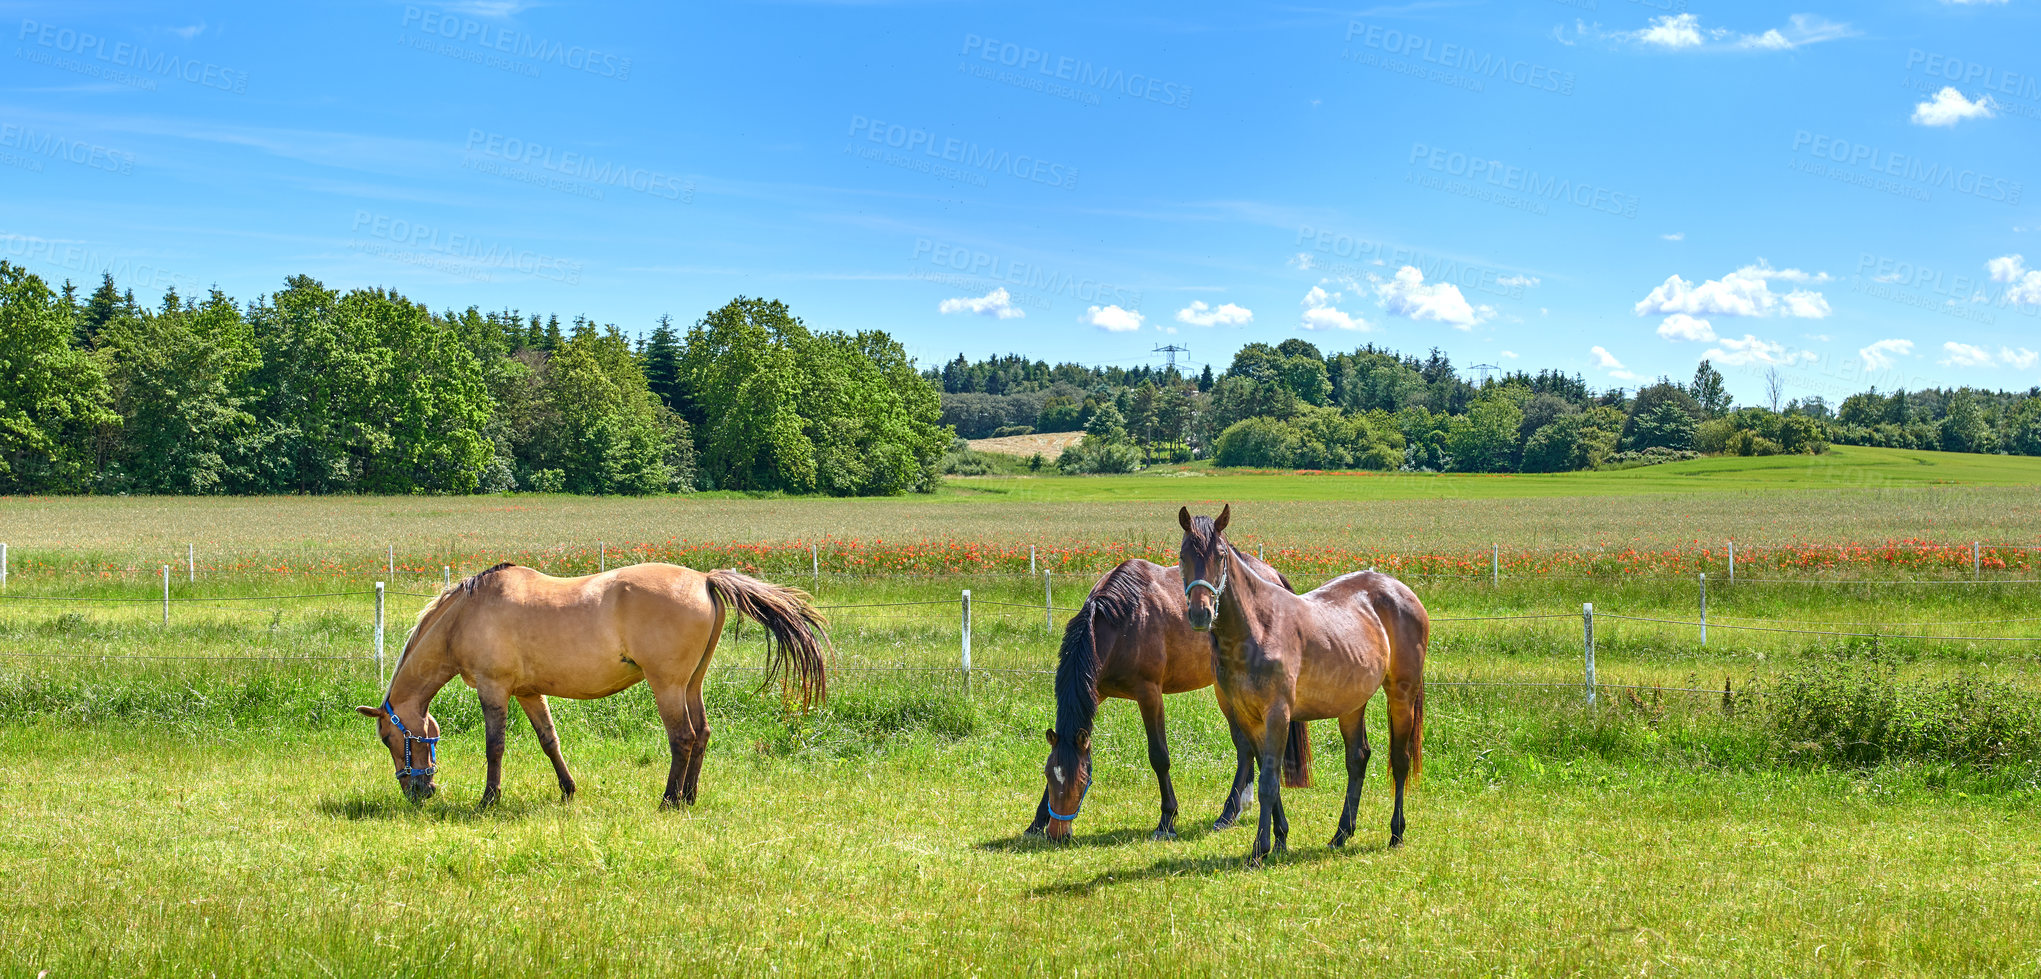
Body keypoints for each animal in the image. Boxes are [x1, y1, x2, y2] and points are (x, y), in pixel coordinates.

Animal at [355, 562, 824, 807]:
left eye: (388, 738)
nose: (417, 791)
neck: (466, 615)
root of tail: (704, 579)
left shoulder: (494, 690)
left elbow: (495, 747)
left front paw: (489, 799)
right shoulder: (528, 692)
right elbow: (549, 741)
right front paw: (568, 790)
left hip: (667, 686)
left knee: (683, 738)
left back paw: (668, 799)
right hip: (692, 684)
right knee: (703, 733)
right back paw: (688, 797)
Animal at [1028, 554, 1314, 844]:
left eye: (1081, 780)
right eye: (1049, 775)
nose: (1057, 834)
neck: (1123, 621)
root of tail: (1271, 573)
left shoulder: (1149, 693)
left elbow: (1159, 756)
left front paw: (1167, 820)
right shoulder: (1095, 692)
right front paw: (1036, 823)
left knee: (1245, 748)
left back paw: (1227, 813)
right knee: (1246, 747)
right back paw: (1234, 811)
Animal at [1175, 505, 1428, 864]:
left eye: (1220, 555)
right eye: (1183, 555)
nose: (1201, 613)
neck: (1258, 627)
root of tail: (1401, 590)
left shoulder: (1278, 715)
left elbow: (1268, 782)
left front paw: (1260, 849)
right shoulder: (1249, 717)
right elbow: (1270, 777)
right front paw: (1280, 838)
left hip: (1401, 695)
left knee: (1400, 760)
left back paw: (1396, 833)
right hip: (1351, 704)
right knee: (1358, 758)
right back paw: (1341, 834)